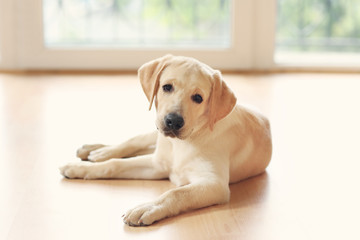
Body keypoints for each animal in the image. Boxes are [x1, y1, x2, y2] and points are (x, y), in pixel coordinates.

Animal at [59, 54, 272, 227]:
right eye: (167, 87)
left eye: (198, 98)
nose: (173, 121)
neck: (183, 142)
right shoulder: (157, 164)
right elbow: (114, 165)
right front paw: (80, 168)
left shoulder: (214, 184)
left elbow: (176, 193)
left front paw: (147, 208)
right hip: (155, 133)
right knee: (135, 140)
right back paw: (97, 150)